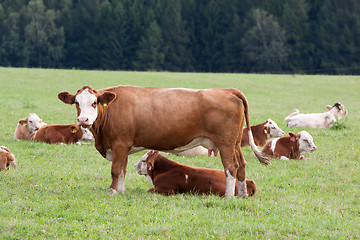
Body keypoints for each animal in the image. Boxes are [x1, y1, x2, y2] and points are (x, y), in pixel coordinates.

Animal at [59, 85, 272, 198]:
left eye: (94, 102)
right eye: (77, 103)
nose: (83, 120)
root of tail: (226, 90)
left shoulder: (119, 144)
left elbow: (115, 170)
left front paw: (112, 192)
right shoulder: (124, 146)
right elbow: (123, 170)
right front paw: (120, 191)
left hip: (225, 143)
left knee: (231, 167)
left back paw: (228, 195)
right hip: (234, 143)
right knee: (242, 165)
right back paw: (242, 194)